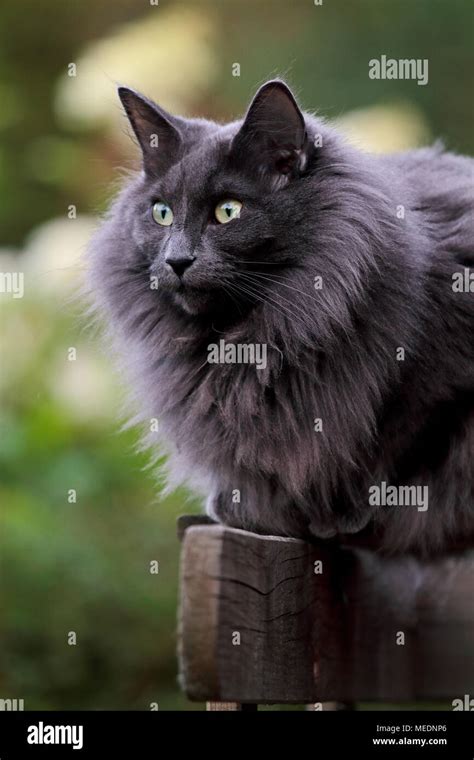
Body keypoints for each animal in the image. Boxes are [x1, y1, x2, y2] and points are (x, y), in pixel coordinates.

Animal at [86, 81, 474, 560]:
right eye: (161, 213)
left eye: (228, 211)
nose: (176, 260)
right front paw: (244, 505)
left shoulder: (437, 387)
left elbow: (397, 444)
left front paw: (341, 516)